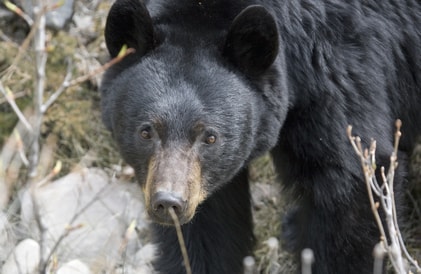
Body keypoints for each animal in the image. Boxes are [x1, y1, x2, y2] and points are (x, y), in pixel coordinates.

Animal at [101, 0, 420, 272]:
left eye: (210, 137)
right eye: (146, 131)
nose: (169, 202)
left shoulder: (338, 76)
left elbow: (351, 186)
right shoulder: (198, 182)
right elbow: (207, 228)